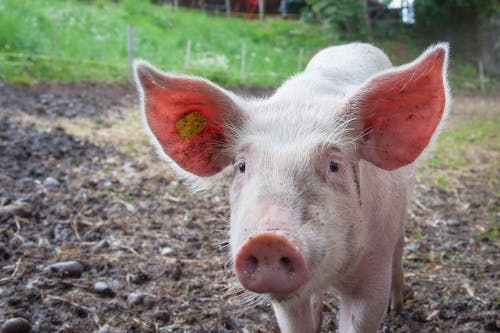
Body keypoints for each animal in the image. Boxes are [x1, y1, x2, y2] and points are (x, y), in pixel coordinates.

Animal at [132, 42, 450, 332]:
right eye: (241, 166)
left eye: (335, 165)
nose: (268, 241)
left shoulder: (373, 277)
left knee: (399, 249)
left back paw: (399, 308)